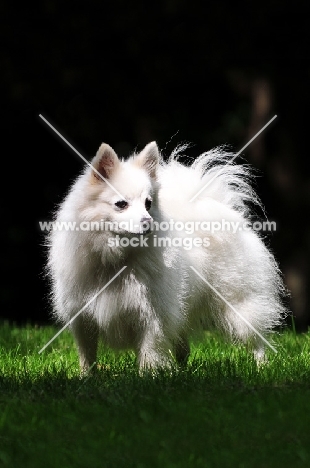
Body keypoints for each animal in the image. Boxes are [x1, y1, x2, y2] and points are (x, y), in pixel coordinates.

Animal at [47, 141, 286, 372]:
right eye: (121, 204)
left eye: (148, 203)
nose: (147, 222)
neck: (117, 259)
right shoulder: (82, 318)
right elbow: (87, 355)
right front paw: (86, 378)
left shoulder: (152, 316)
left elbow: (148, 353)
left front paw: (148, 377)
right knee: (183, 348)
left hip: (239, 302)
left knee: (256, 339)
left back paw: (261, 367)